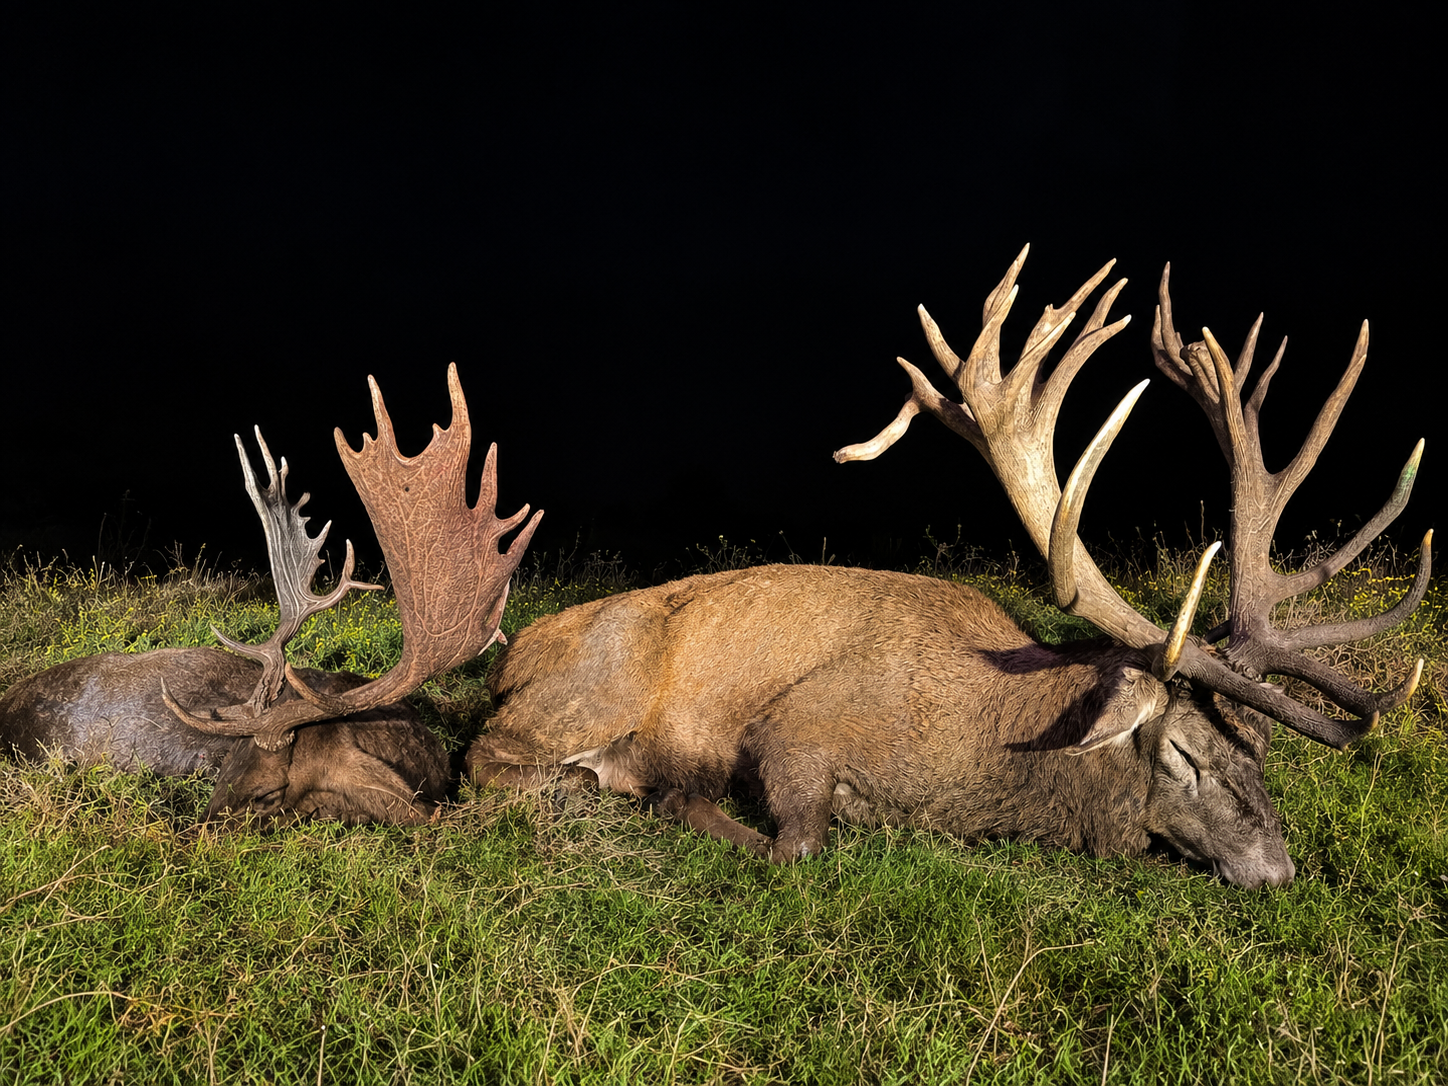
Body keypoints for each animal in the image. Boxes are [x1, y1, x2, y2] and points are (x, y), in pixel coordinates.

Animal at [466, 247, 1430, 888]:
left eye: (1259, 748)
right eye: (1186, 753)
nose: (1279, 871)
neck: (988, 747)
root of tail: (510, 656)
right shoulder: (798, 725)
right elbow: (794, 846)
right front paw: (677, 797)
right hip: (600, 679)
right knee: (489, 758)